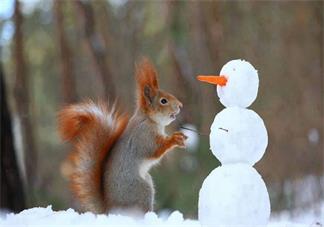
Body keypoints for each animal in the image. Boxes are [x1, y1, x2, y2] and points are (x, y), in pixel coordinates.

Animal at [57, 58, 186, 215]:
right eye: (163, 101)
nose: (180, 105)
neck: (149, 119)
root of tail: (110, 209)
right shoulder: (143, 137)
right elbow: (154, 150)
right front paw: (175, 139)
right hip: (141, 190)